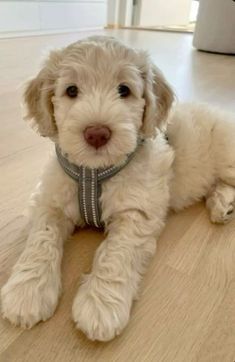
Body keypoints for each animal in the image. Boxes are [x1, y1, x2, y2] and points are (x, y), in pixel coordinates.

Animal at [1, 35, 235, 340]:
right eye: (71, 90)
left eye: (124, 90)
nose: (97, 133)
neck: (93, 172)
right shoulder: (50, 201)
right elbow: (41, 239)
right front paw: (27, 290)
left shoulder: (136, 211)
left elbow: (116, 253)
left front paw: (100, 305)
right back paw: (222, 204)